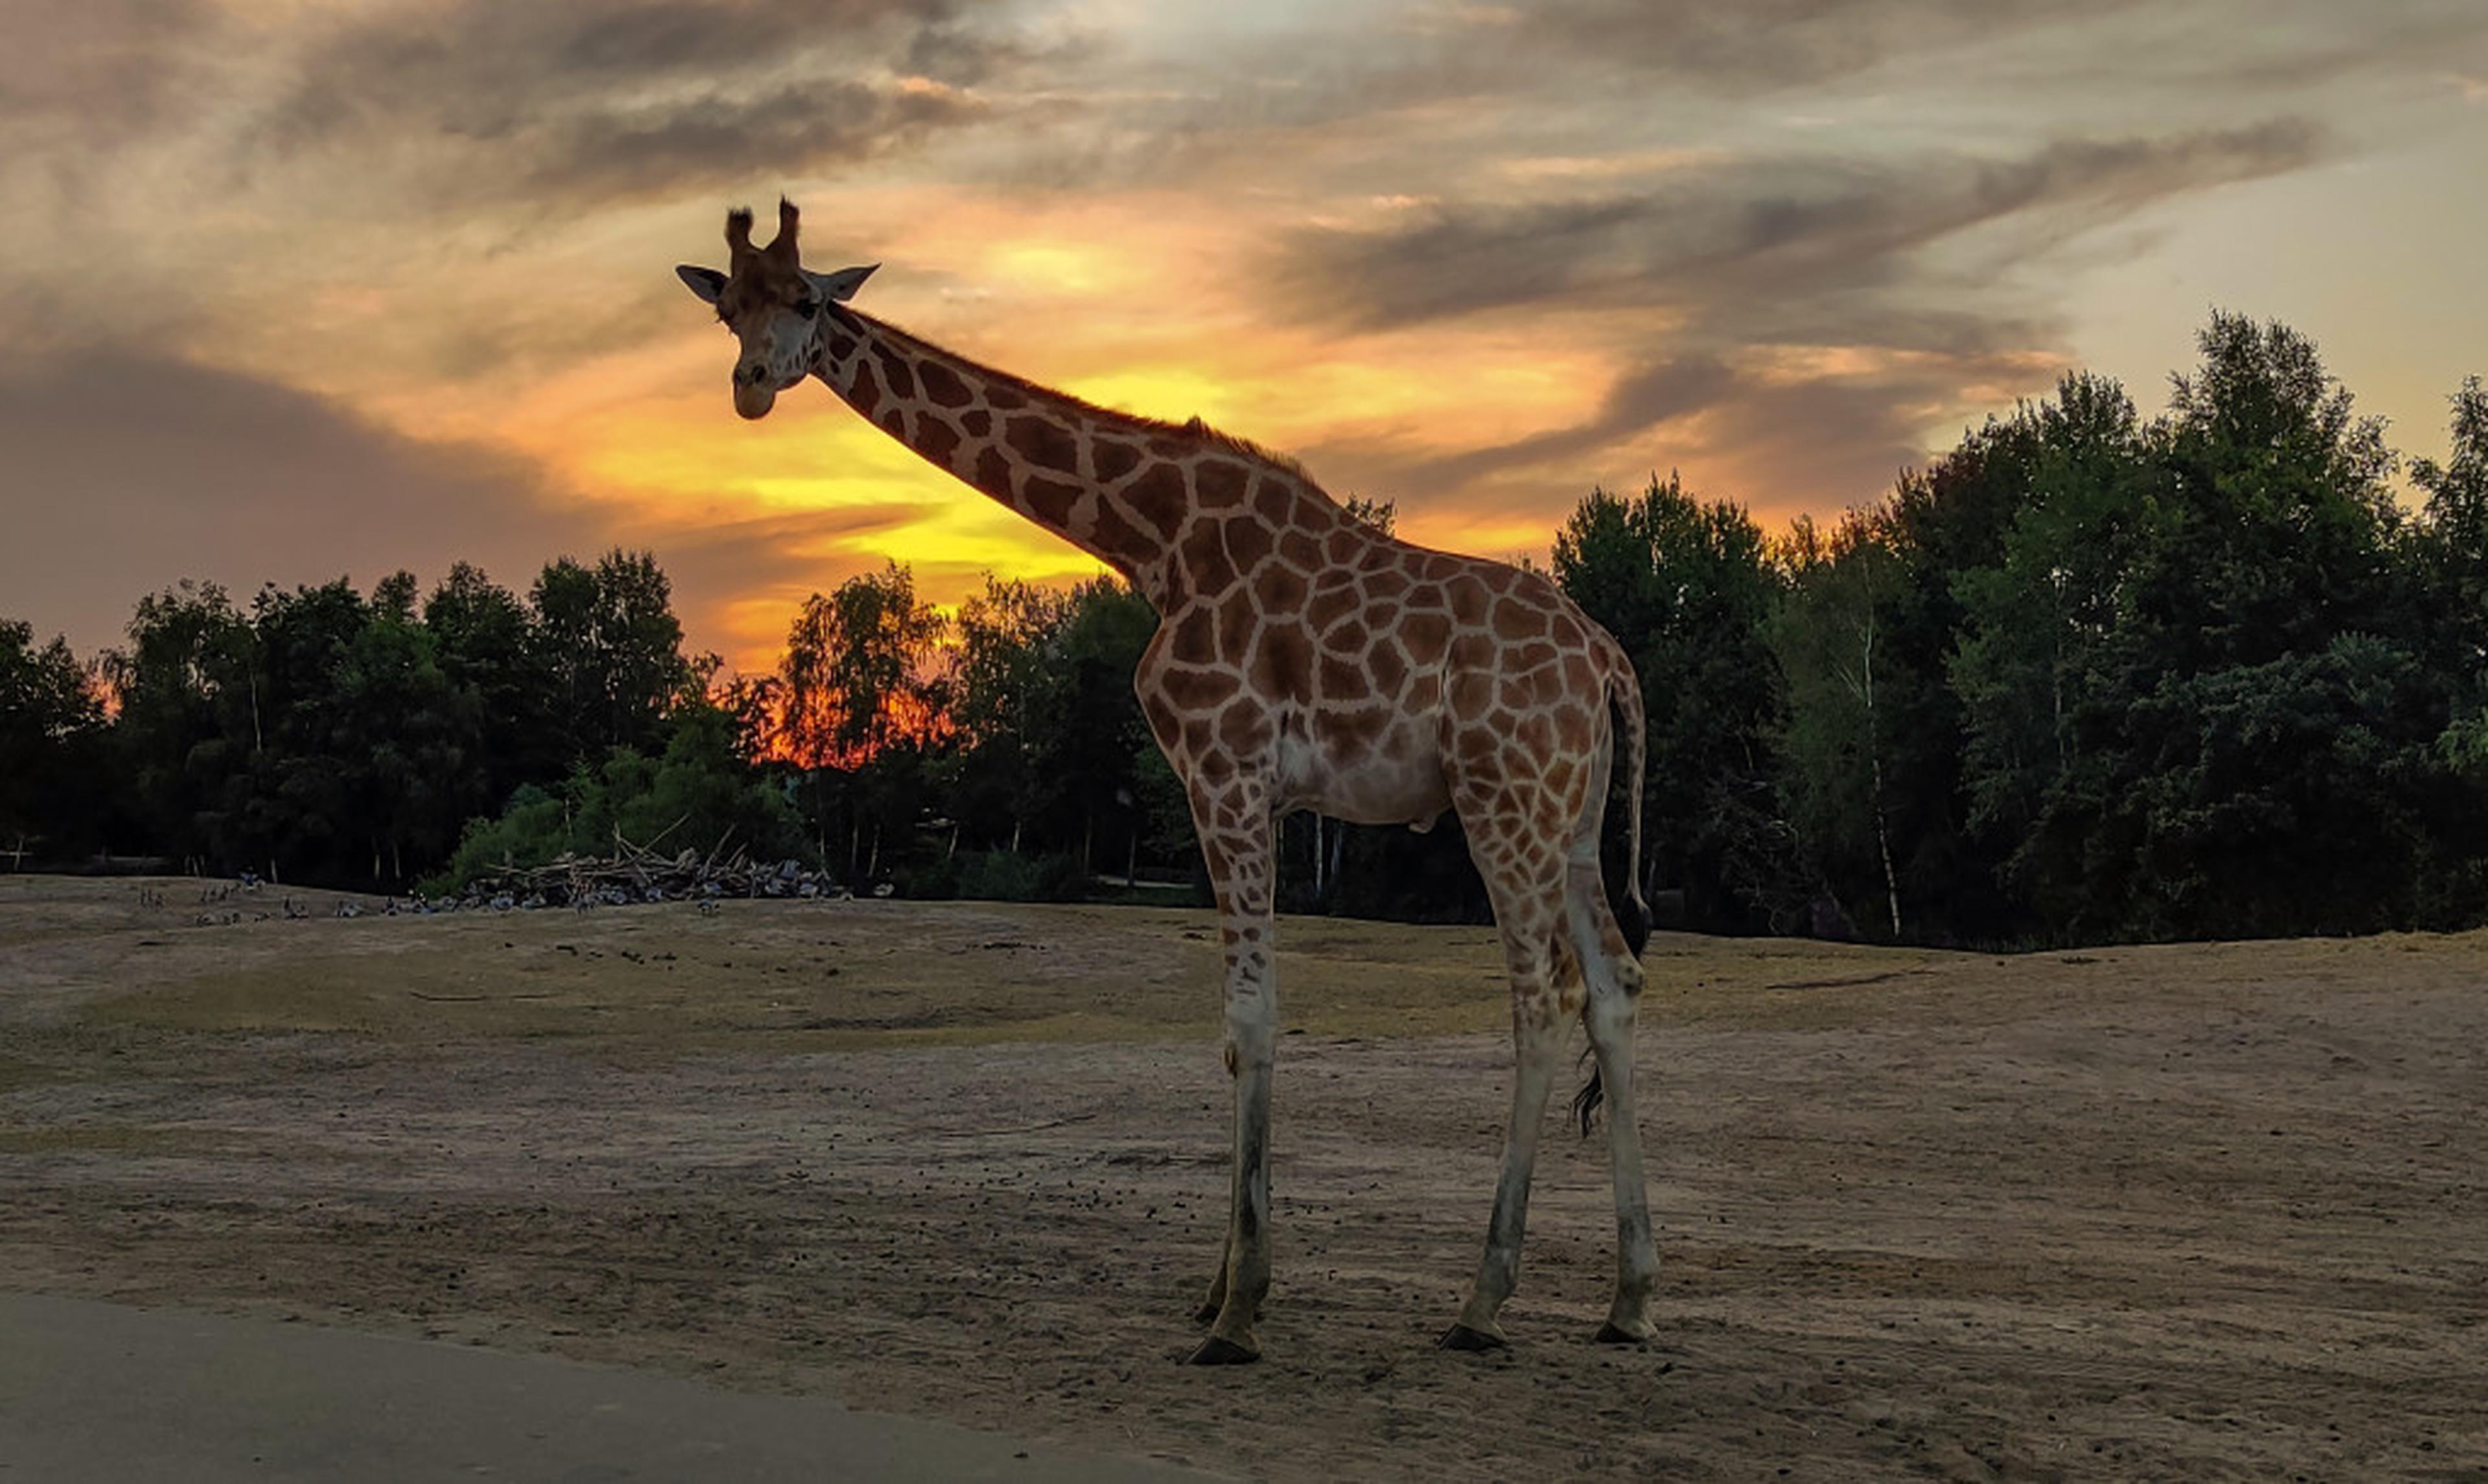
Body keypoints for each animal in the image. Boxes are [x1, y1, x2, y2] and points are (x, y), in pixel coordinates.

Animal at [678, 201, 1661, 1364]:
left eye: (807, 300)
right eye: (729, 308)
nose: (750, 382)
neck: (1150, 540)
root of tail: (1609, 661)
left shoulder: (1226, 767)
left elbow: (1251, 1021)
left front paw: (1237, 1314)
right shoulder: (1234, 784)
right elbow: (1237, 1032)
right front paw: (1220, 1288)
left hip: (1502, 800)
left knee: (1544, 995)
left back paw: (1482, 1301)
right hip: (1572, 815)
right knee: (1614, 983)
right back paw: (1630, 1298)